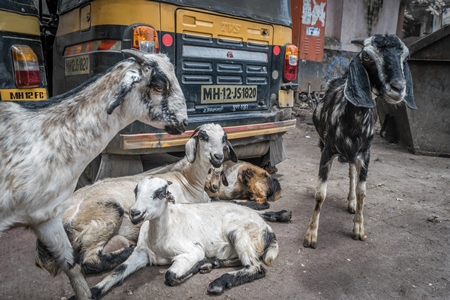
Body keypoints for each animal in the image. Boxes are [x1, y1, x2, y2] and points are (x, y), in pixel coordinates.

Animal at [0, 50, 186, 298]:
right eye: (158, 85)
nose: (184, 122)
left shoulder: (45, 217)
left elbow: (72, 266)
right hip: (107, 214)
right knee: (90, 260)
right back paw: (125, 252)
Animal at [36, 123, 237, 276]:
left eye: (224, 138)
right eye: (203, 137)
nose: (218, 157)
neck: (187, 179)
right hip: (105, 214)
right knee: (90, 261)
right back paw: (126, 252)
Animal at [86, 177, 280, 298]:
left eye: (160, 193)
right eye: (136, 191)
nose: (135, 213)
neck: (160, 236)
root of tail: (267, 229)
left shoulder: (192, 251)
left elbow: (170, 275)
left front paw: (196, 267)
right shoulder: (141, 253)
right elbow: (118, 271)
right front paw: (93, 291)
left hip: (238, 230)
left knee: (255, 267)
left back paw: (218, 281)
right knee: (240, 260)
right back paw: (211, 264)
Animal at [302, 34, 418, 248]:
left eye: (405, 57)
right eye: (367, 57)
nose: (398, 88)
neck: (352, 123)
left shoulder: (365, 154)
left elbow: (362, 191)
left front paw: (359, 229)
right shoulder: (328, 151)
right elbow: (321, 193)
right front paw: (311, 235)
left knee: (351, 174)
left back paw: (351, 203)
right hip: (323, 143)